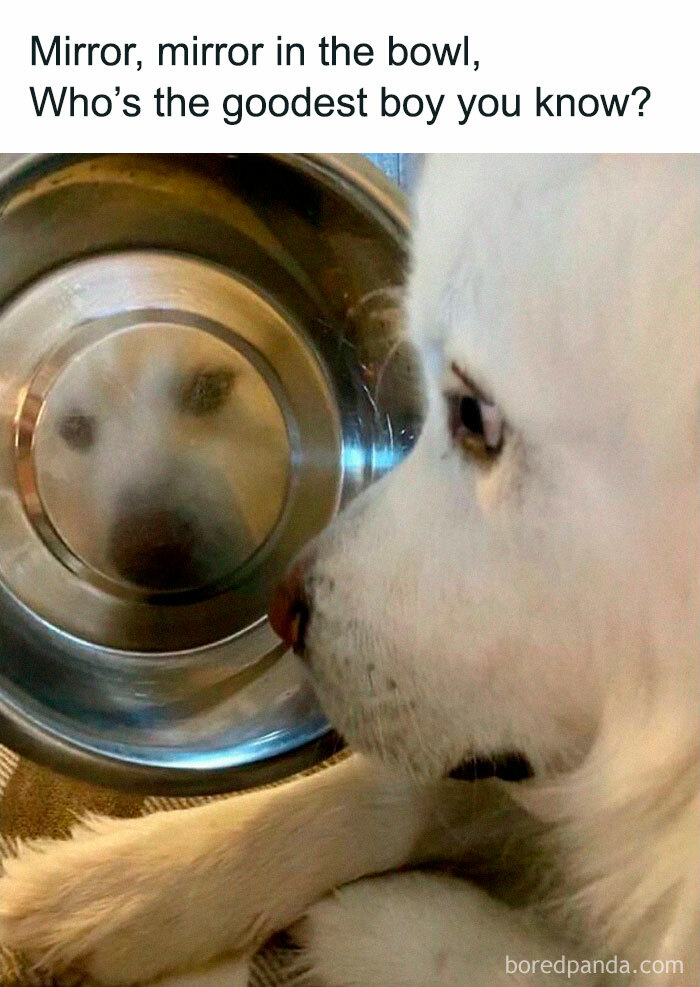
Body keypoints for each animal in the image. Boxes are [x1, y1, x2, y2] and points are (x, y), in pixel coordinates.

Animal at [1, 156, 700, 987]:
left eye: (472, 414)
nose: (282, 608)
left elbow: (509, 949)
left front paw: (370, 919)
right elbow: (389, 789)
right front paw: (110, 887)